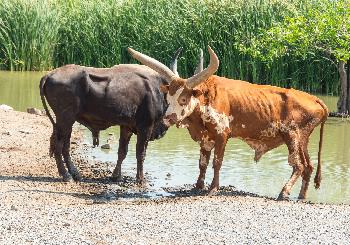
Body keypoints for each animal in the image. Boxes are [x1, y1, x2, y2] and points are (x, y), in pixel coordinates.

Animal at [129, 46, 328, 201]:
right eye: (168, 97)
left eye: (183, 99)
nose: (168, 118)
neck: (205, 97)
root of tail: (315, 99)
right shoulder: (206, 138)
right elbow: (202, 163)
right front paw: (198, 185)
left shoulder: (221, 134)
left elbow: (217, 162)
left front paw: (213, 188)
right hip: (303, 139)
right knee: (308, 167)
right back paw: (301, 196)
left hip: (292, 136)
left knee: (298, 165)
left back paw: (284, 192)